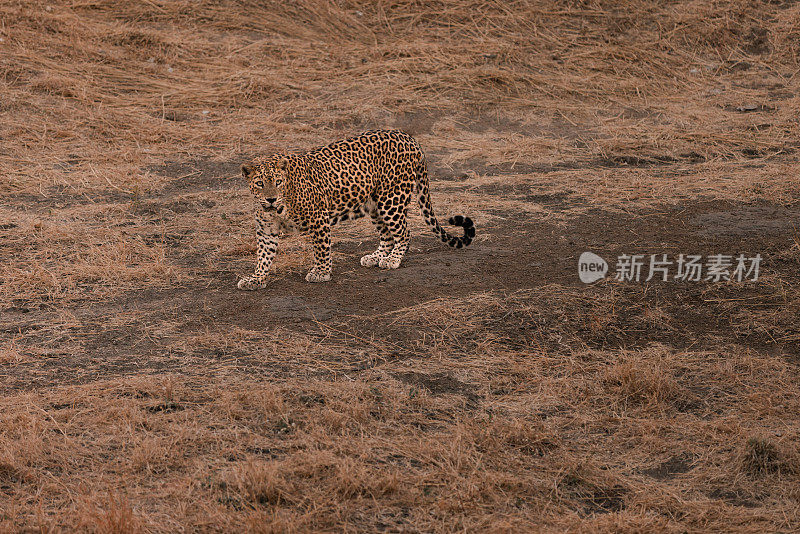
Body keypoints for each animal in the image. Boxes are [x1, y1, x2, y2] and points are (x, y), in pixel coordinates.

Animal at [236, 129, 476, 292]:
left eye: (277, 182)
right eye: (260, 184)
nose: (270, 198)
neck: (277, 208)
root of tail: (410, 138)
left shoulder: (318, 219)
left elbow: (321, 249)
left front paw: (321, 273)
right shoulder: (266, 231)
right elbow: (263, 256)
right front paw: (256, 278)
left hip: (392, 199)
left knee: (404, 233)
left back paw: (393, 259)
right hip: (375, 204)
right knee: (387, 235)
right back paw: (376, 256)